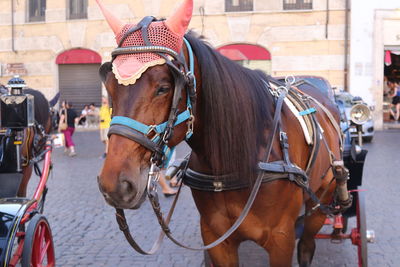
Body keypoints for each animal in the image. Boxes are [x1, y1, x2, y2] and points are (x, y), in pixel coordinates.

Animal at [96, 1, 346, 266]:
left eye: (163, 87)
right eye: (110, 87)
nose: (114, 184)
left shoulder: (282, 239)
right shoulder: (215, 238)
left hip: (321, 202)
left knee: (307, 244)